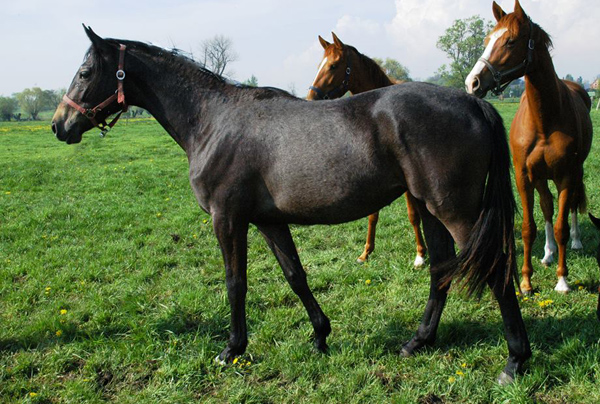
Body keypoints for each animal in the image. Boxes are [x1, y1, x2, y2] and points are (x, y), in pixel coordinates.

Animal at [310, 32, 426, 268]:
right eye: (319, 65)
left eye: (333, 65)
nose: (310, 97)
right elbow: (373, 215)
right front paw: (366, 252)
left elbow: (412, 215)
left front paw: (420, 255)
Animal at [464, 0, 592, 296]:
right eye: (487, 40)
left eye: (510, 41)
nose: (472, 83)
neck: (545, 120)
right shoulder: (524, 176)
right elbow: (528, 227)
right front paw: (525, 281)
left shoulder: (566, 175)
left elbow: (561, 226)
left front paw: (562, 280)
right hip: (540, 177)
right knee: (546, 206)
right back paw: (547, 253)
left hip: (573, 173)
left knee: (571, 207)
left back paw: (576, 242)